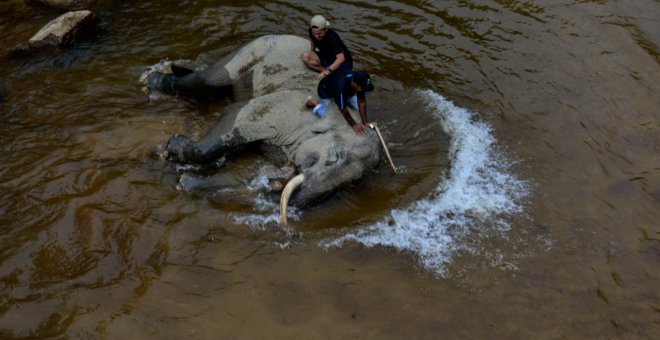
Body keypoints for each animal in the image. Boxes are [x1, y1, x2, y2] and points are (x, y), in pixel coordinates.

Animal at [144, 34, 382, 226]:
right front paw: (172, 148)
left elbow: (244, 174)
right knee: (210, 80)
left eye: (352, 182)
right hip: (251, 51)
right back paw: (153, 80)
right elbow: (234, 115)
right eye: (334, 159)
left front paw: (184, 183)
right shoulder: (285, 109)